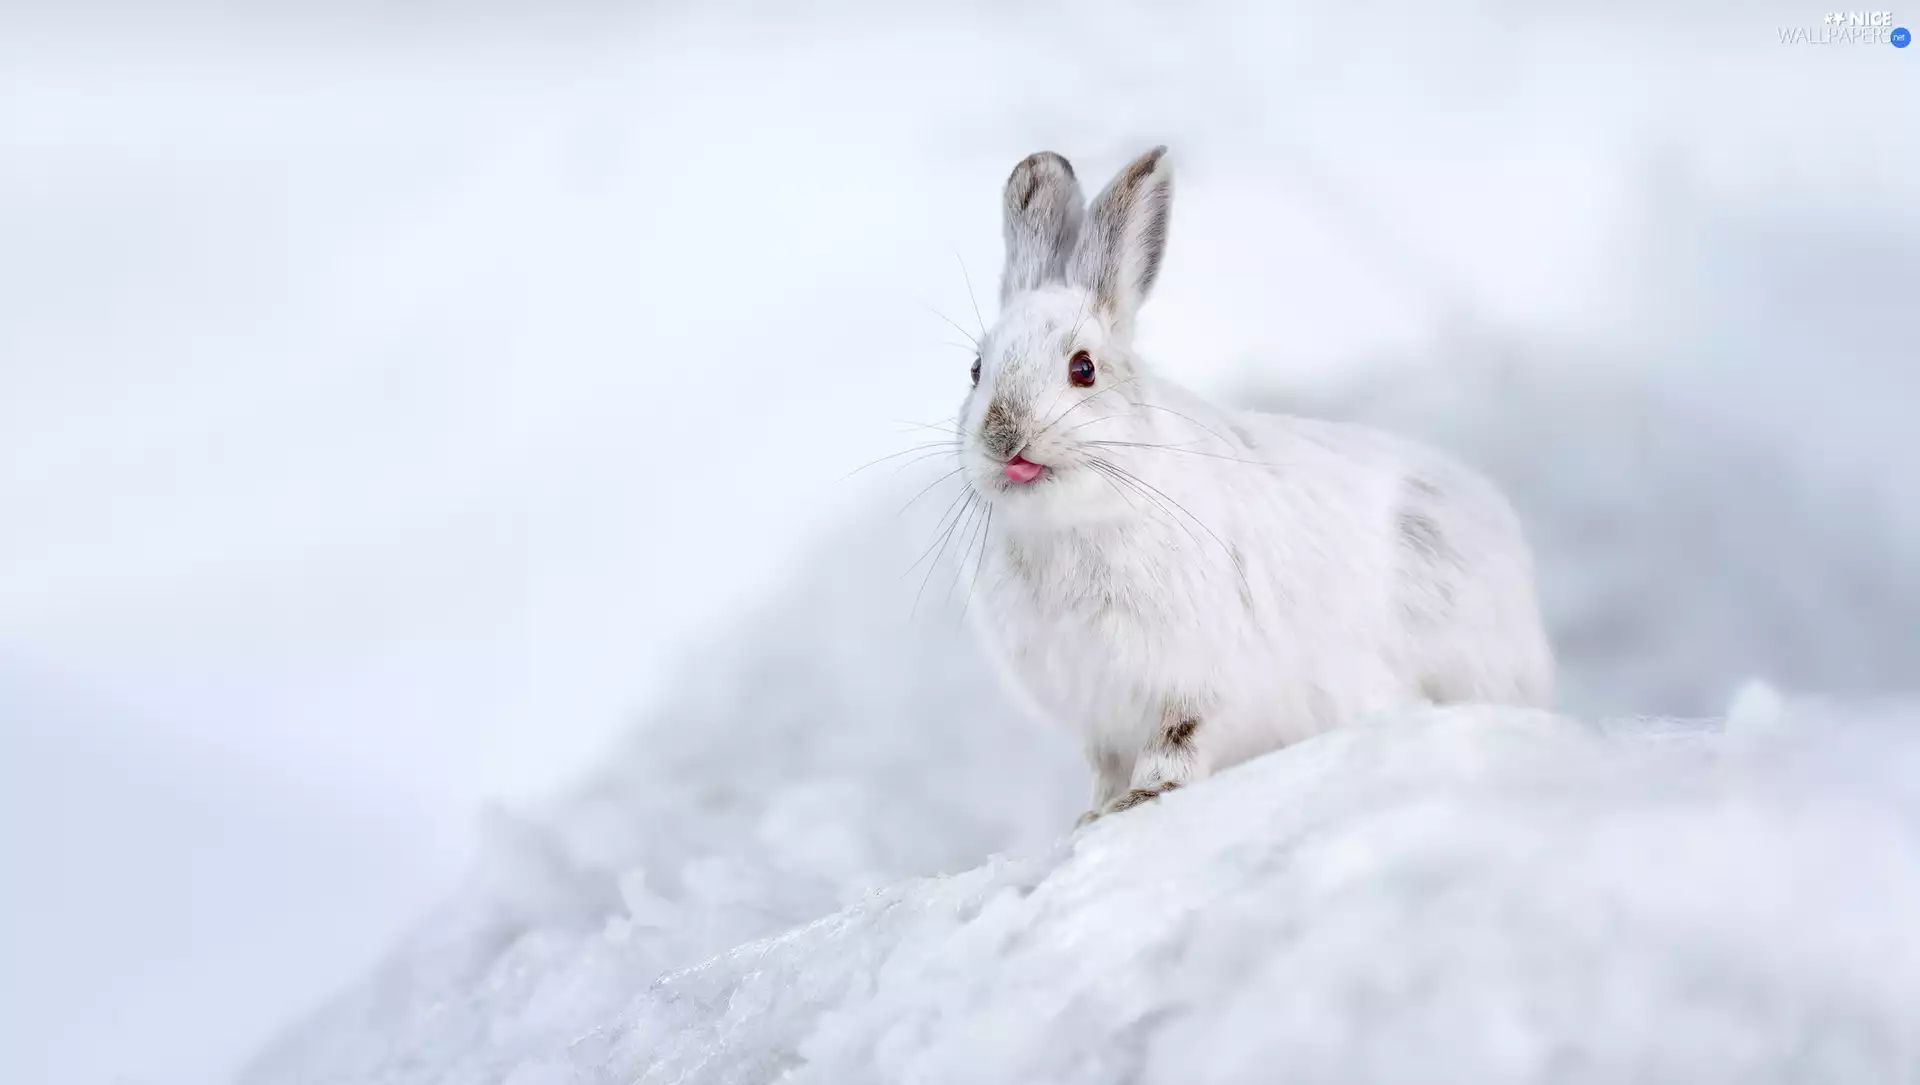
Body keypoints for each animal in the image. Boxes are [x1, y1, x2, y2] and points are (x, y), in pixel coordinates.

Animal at [955, 146, 1556, 825]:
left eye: (1082, 369)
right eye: (976, 370)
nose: (1003, 437)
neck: (1073, 522)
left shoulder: (1195, 684)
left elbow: (1177, 743)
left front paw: (1140, 801)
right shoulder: (1099, 715)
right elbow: (1106, 768)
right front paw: (1092, 815)